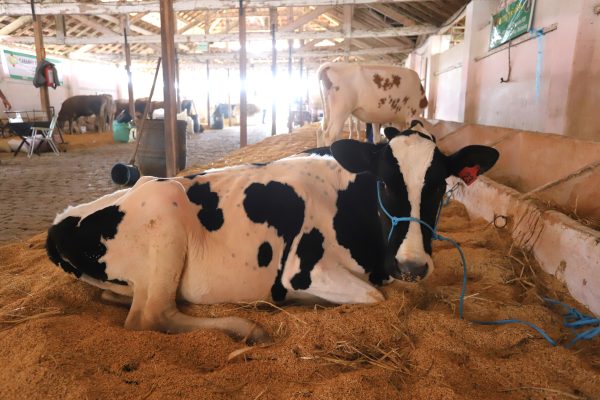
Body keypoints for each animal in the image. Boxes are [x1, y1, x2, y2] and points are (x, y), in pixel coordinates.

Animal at [45, 124, 496, 344]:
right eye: (385, 183)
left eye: (439, 186)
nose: (413, 265)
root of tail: (62, 218)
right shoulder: (304, 269)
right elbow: (374, 297)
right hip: (164, 207)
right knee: (150, 316)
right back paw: (248, 328)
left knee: (126, 299)